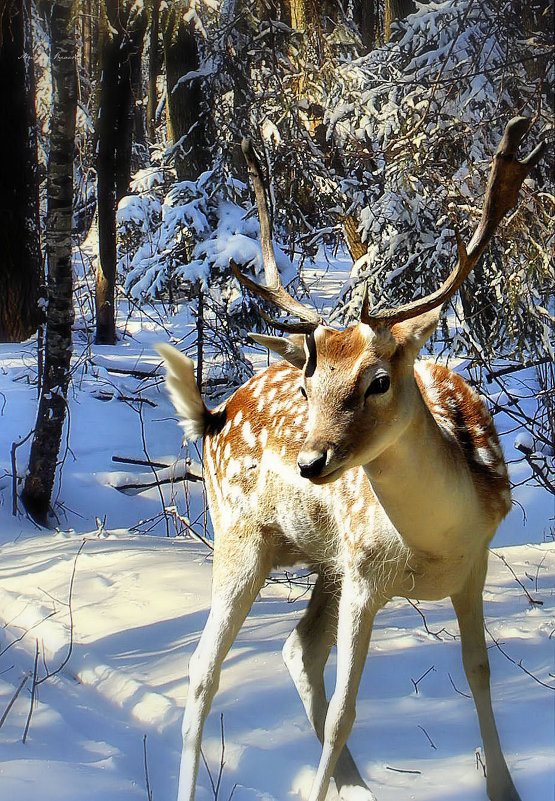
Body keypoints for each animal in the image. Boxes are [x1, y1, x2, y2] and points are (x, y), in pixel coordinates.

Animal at [157, 119, 548, 800]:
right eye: (308, 385)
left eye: (379, 381)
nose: (311, 461)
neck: (433, 546)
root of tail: (213, 415)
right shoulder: (364, 575)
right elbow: (345, 711)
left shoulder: (474, 565)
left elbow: (478, 672)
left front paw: (506, 788)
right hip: (242, 537)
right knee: (205, 668)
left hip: (322, 559)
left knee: (297, 649)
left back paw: (358, 786)